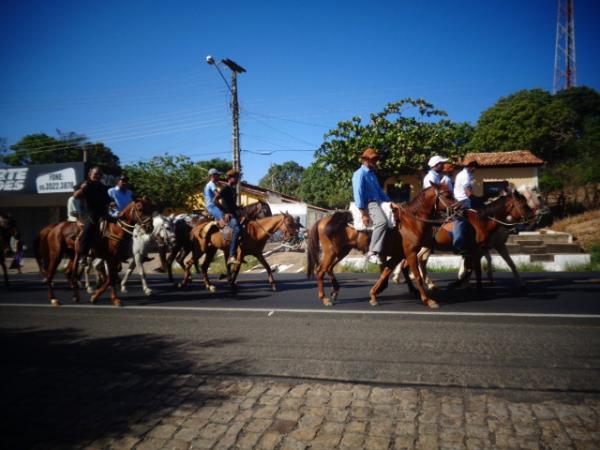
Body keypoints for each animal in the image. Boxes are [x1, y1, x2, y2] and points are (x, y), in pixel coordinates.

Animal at [308, 185, 458, 308]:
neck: (410, 222)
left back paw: (335, 291)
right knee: (320, 270)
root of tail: (322, 220)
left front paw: (374, 295)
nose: (460, 208)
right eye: (448, 195)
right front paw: (428, 301)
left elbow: (385, 273)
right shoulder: (410, 253)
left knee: (329, 268)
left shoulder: (398, 255)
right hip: (331, 251)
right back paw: (325, 298)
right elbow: (417, 277)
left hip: (341, 251)